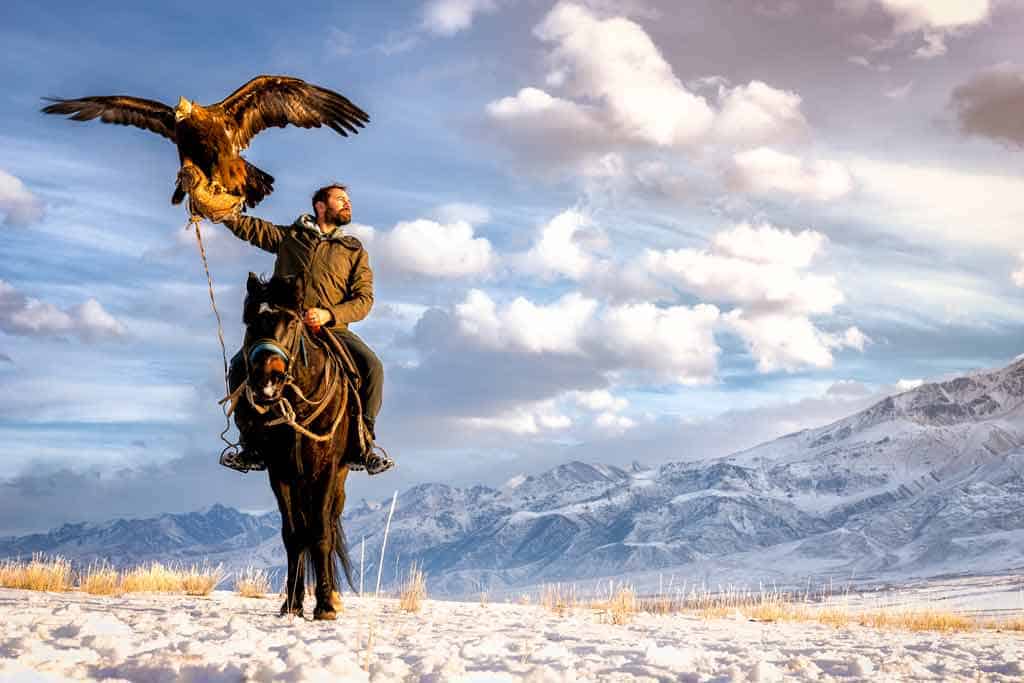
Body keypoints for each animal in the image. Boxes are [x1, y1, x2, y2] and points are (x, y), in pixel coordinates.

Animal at [232, 272, 356, 618]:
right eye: (249, 321)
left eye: (291, 322)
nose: (266, 381)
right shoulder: (280, 472)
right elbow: (293, 535)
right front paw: (292, 603)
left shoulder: (325, 470)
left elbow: (321, 532)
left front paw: (325, 605)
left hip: (338, 477)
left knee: (329, 523)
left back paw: (333, 596)